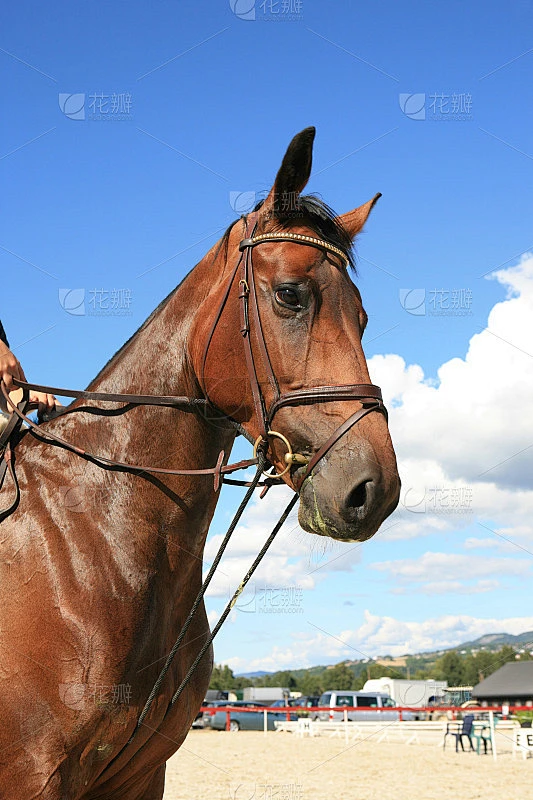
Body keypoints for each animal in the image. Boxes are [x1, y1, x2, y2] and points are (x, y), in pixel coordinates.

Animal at [0, 127, 400, 799]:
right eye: (290, 294)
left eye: (364, 316)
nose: (373, 490)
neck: (89, 541)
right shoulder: (30, 776)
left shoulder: (139, 776)